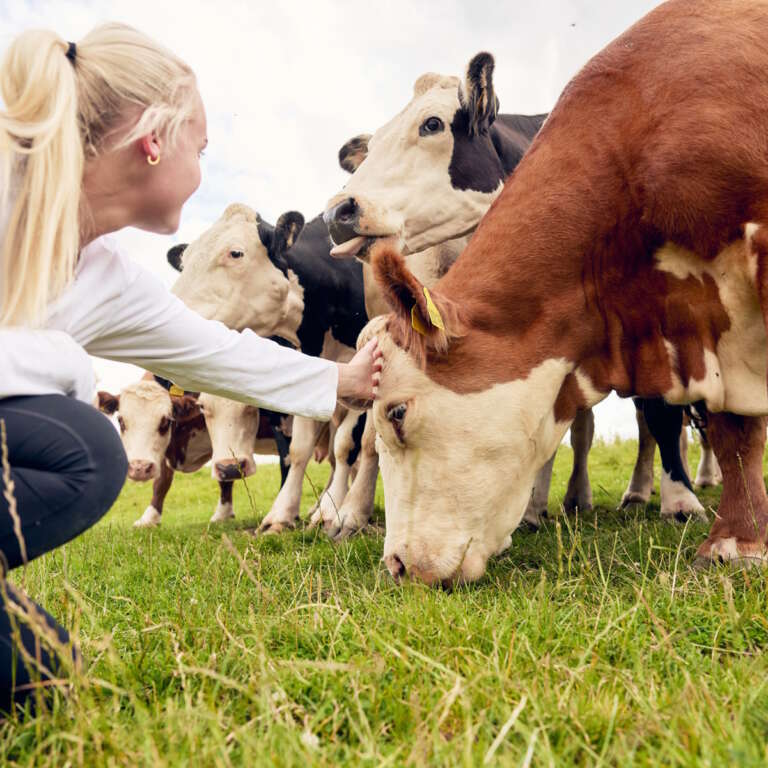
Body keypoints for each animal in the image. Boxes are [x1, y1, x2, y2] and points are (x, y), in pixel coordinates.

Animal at [169, 202, 372, 536]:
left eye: (235, 253)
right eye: (185, 263)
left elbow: (347, 445)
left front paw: (333, 512)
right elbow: (299, 450)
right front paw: (282, 513)